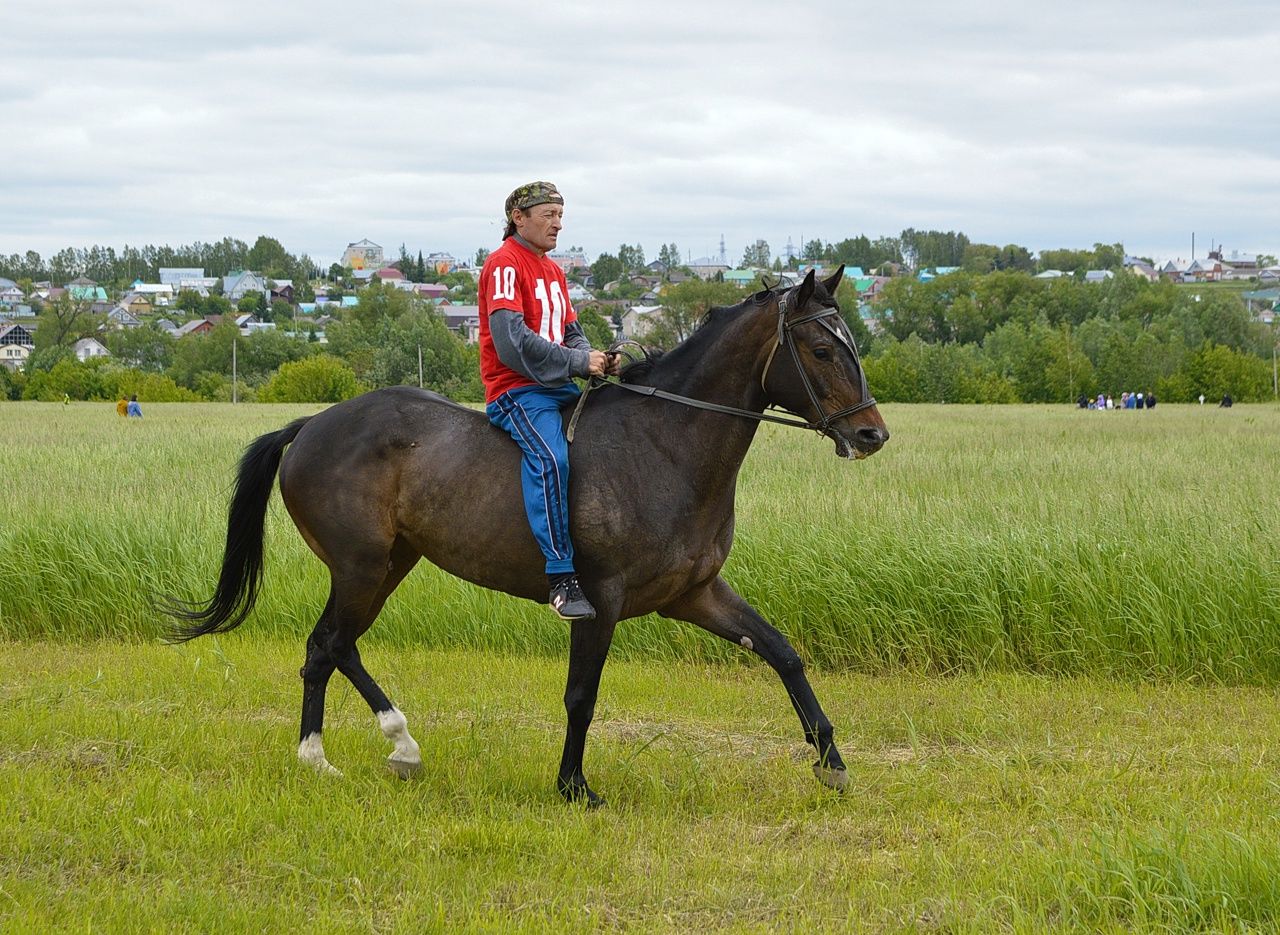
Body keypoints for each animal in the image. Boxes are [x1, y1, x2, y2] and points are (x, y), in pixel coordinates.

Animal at [167, 263, 890, 799]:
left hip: (391, 563)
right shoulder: (601, 598)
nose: (871, 434)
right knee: (328, 644)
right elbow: (581, 694)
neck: (665, 445)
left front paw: (831, 761)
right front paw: (574, 786)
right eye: (821, 348)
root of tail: (312, 425)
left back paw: (370, 751)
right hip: (361, 566)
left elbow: (782, 651)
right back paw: (347, 751)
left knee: (334, 646)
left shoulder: (696, 594)